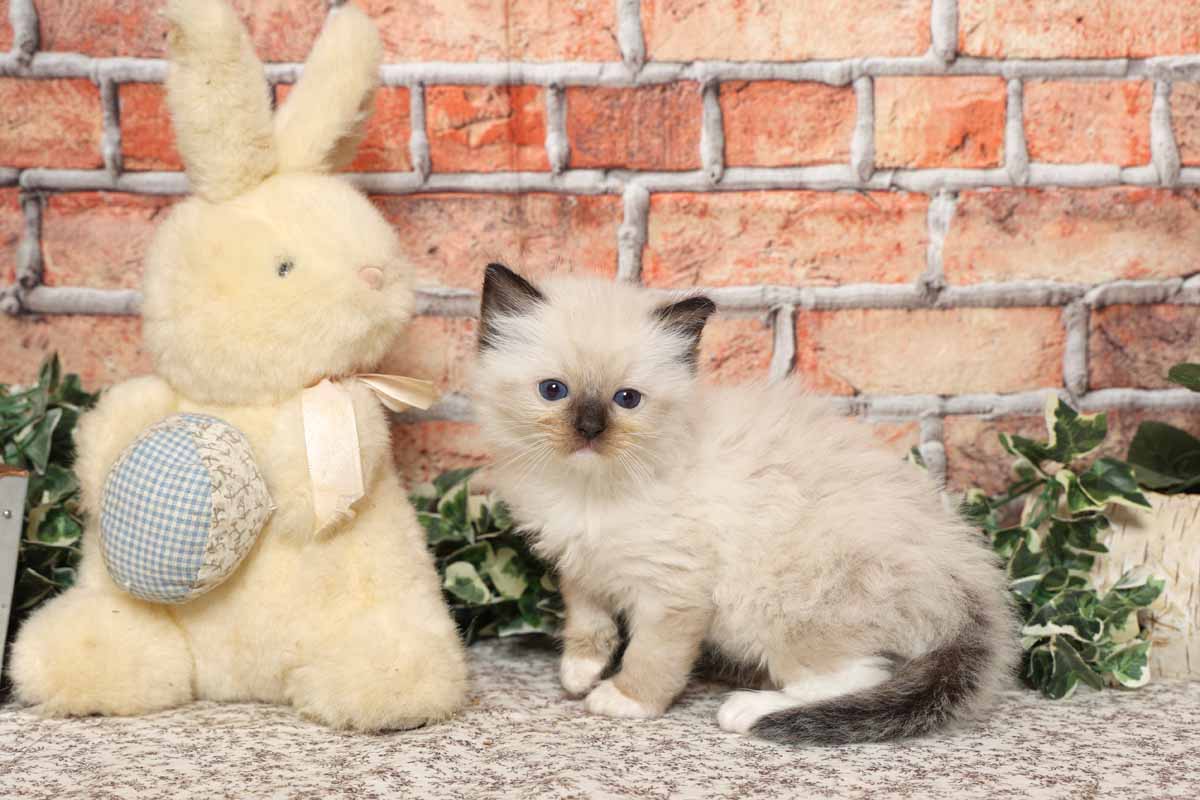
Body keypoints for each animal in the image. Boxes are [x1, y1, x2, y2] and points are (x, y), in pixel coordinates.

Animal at [472, 262, 1017, 743]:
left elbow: (652, 655)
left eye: (627, 399)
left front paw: (623, 699)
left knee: (863, 672)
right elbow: (587, 621)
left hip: (785, 609)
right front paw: (578, 672)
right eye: (553, 391)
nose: (589, 430)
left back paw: (748, 710)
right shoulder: (582, 568)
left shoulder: (674, 590)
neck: (587, 489)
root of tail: (968, 575)